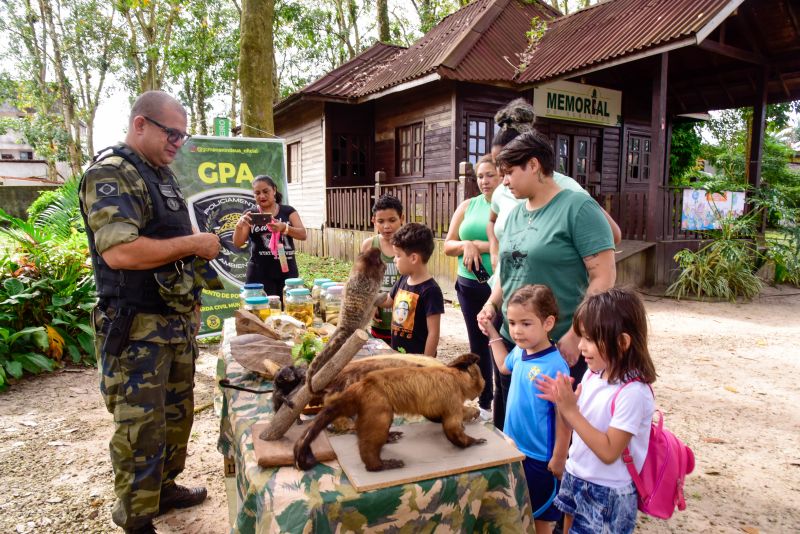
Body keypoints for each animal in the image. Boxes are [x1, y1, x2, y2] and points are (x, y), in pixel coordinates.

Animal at [292, 356, 484, 474]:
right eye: (481, 385)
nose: (479, 395)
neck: (454, 375)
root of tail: (361, 385)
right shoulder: (453, 397)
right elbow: (452, 428)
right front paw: (473, 440)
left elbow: (436, 416)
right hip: (377, 405)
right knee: (371, 436)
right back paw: (378, 464)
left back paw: (388, 438)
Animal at [304, 249, 386, 396]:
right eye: (378, 259)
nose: (378, 250)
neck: (363, 272)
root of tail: (345, 326)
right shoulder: (373, 282)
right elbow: (377, 295)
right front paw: (383, 294)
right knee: (373, 305)